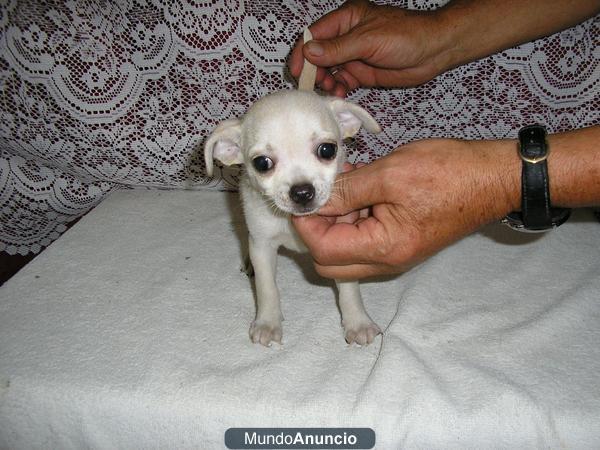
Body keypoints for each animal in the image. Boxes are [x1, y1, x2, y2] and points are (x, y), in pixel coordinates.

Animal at [204, 89, 382, 346]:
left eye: (327, 150)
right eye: (262, 163)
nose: (302, 192)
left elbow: (349, 288)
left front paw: (358, 322)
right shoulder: (262, 246)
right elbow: (266, 288)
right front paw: (267, 323)